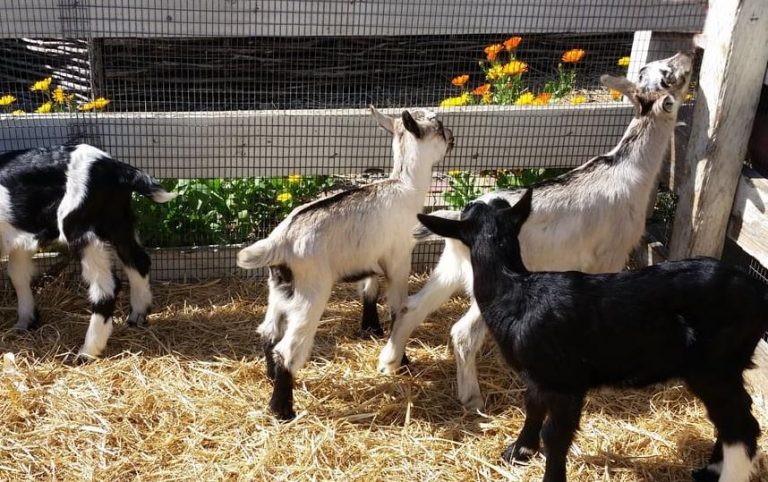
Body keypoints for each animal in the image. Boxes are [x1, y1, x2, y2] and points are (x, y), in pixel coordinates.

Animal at [0, 145, 177, 360]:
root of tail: (116, 168)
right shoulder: (20, 240)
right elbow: (18, 275)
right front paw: (26, 322)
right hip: (118, 221)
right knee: (138, 261)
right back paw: (137, 316)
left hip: (80, 228)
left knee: (105, 287)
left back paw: (88, 351)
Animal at [238, 107, 456, 420]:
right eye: (438, 127)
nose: (452, 136)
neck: (405, 186)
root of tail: (280, 240)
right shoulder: (399, 258)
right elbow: (398, 308)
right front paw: (402, 360)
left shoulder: (371, 257)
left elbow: (369, 289)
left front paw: (371, 328)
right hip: (311, 293)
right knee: (288, 350)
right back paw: (283, 410)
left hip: (278, 291)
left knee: (268, 332)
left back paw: (270, 377)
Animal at [378, 50, 696, 410]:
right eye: (671, 75)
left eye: (652, 68)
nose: (688, 53)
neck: (627, 170)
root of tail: (460, 218)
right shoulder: (610, 256)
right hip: (485, 281)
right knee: (463, 333)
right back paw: (472, 398)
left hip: (451, 268)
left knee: (410, 307)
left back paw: (389, 362)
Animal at [420, 190, 768, 482]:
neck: (516, 290)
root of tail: (756, 289)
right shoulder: (537, 376)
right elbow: (533, 408)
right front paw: (519, 451)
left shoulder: (566, 383)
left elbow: (555, 435)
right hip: (726, 366)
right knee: (734, 416)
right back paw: (710, 468)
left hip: (713, 367)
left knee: (742, 426)